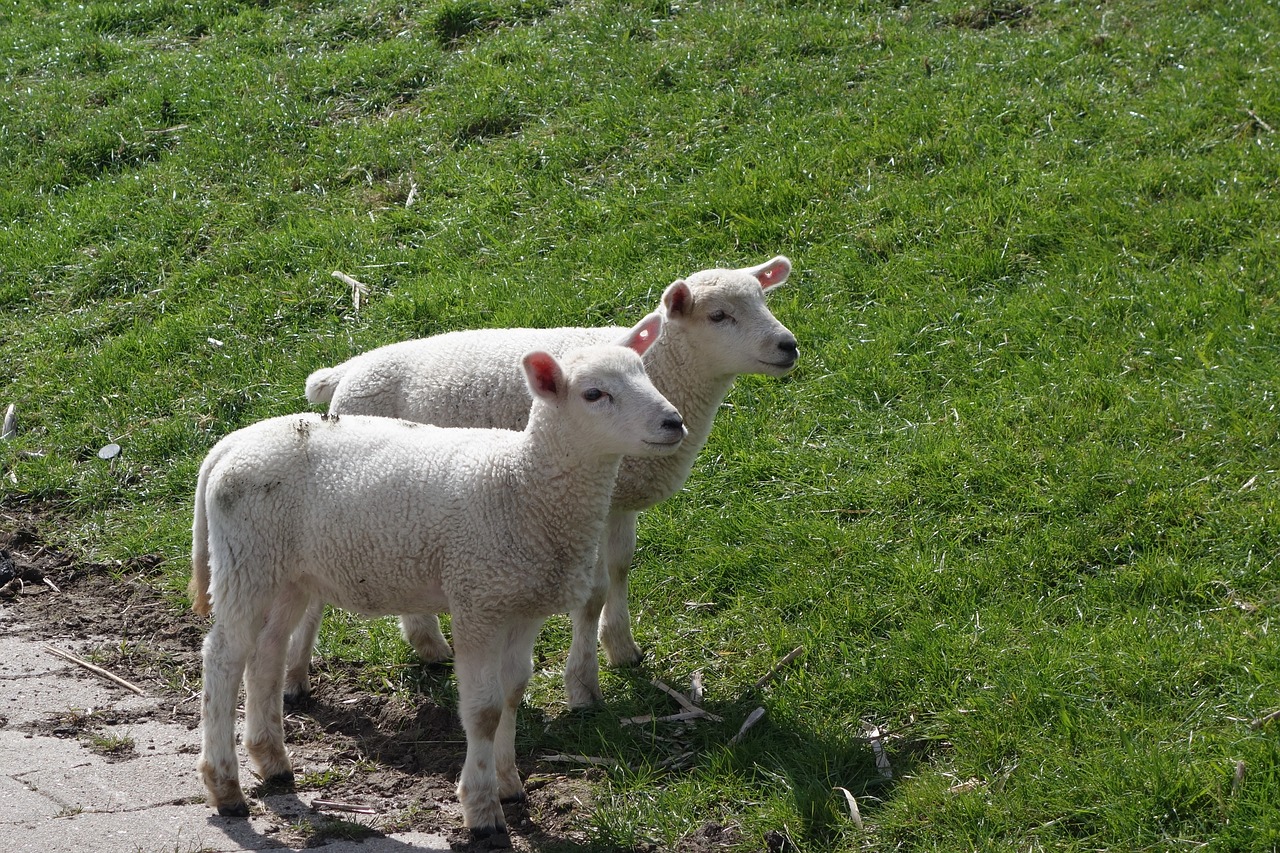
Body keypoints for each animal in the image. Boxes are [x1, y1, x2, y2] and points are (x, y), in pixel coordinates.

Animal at [186, 313, 686, 835]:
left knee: (266, 653)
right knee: (223, 657)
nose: (674, 422)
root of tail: (228, 446)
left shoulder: (522, 605)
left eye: (645, 374)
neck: (522, 483)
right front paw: (481, 808)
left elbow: (513, 693)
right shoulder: (476, 599)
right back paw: (225, 786)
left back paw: (273, 761)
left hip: (289, 574)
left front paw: (509, 784)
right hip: (247, 559)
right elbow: (484, 711)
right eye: (593, 394)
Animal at [296, 253, 798, 701]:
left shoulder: (616, 497)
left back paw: (428, 645)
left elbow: (621, 565)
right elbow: (593, 592)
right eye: (719, 316)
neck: (672, 372)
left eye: (763, 299)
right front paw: (583, 684)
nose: (789, 346)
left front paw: (621, 646)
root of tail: (347, 371)